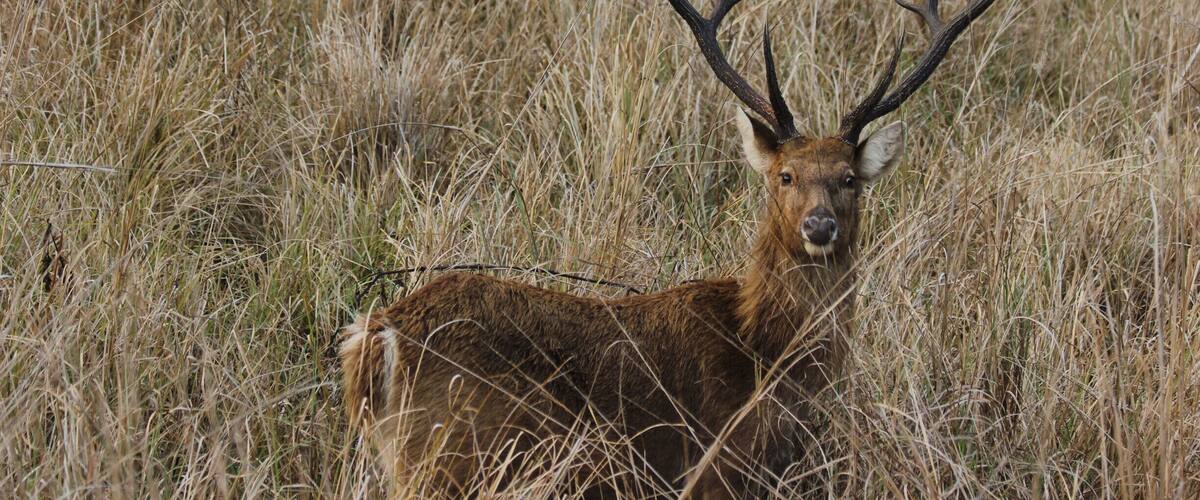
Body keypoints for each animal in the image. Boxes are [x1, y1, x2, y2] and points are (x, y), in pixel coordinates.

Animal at [341, 0, 995, 497]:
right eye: (784, 175)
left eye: (849, 178)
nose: (819, 226)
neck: (769, 354)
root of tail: (377, 337)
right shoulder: (718, 469)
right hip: (463, 453)